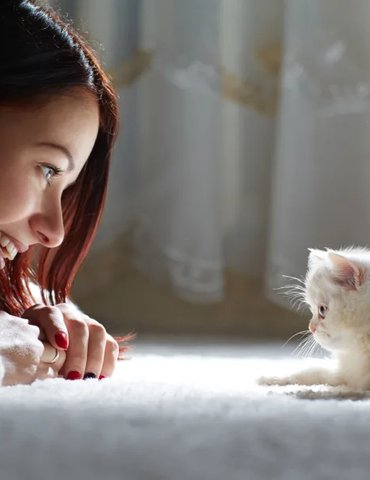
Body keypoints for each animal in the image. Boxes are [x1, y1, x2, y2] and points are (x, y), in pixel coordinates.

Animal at [258, 248, 370, 390]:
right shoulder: (346, 374)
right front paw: (275, 377)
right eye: (311, 310)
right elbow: (314, 370)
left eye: (322, 310)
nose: (311, 328)